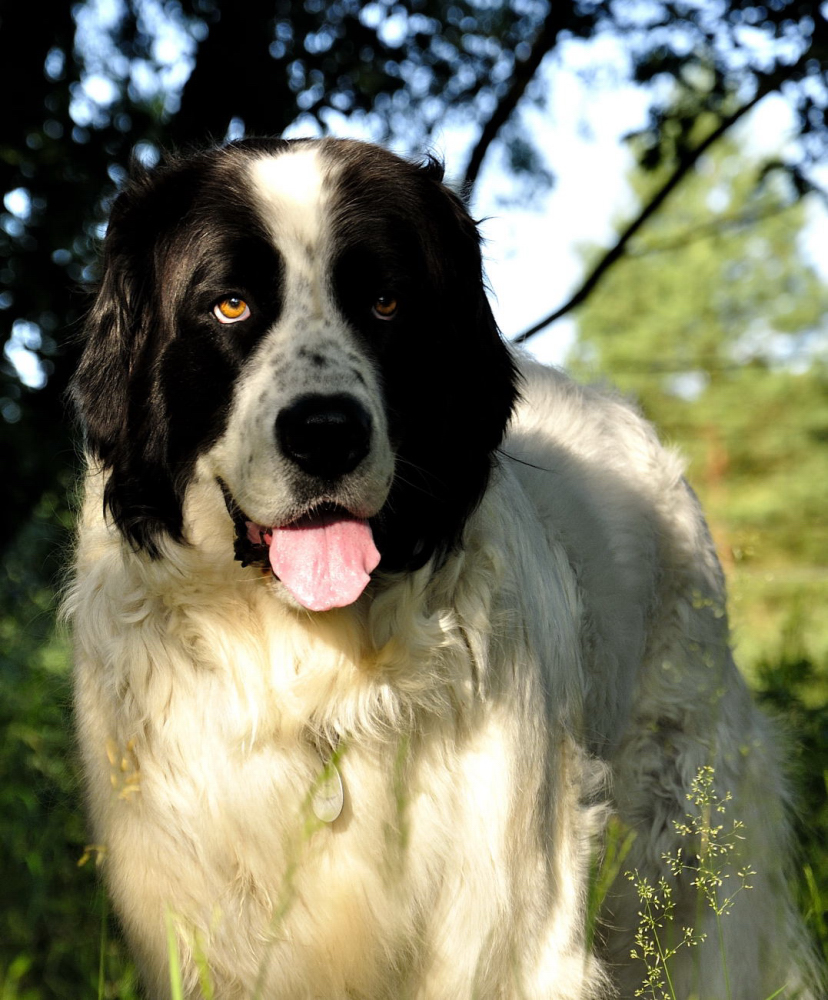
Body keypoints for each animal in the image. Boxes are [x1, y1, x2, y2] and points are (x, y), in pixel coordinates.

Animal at [68, 139, 820, 1000]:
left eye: (387, 303)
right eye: (229, 306)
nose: (326, 432)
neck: (317, 671)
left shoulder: (512, 921)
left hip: (683, 843)